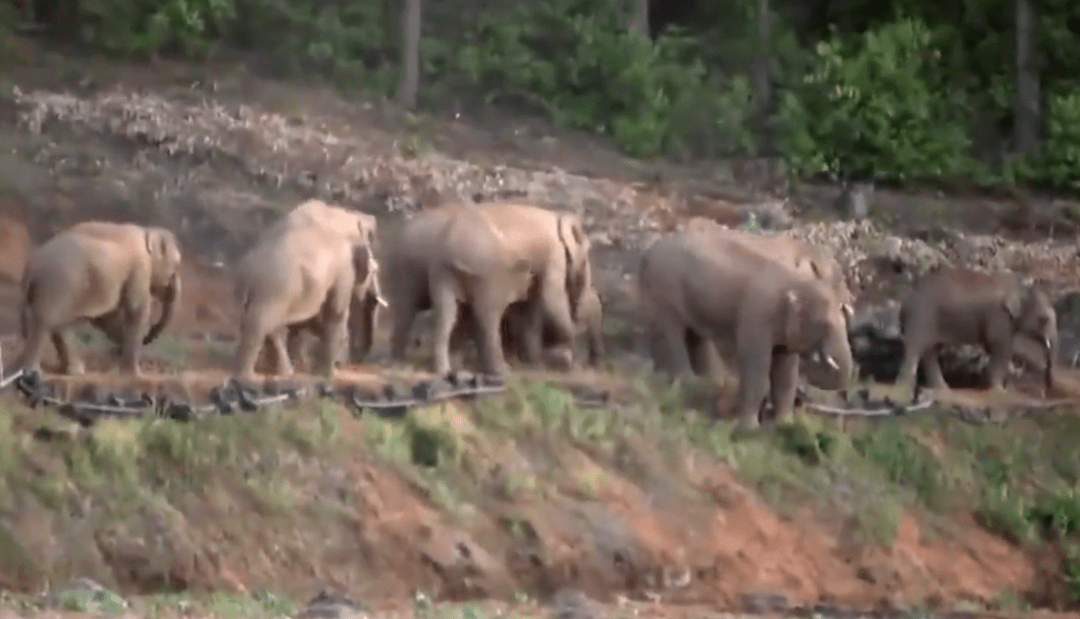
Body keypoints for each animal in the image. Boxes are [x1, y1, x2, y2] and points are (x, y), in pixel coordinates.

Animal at [15, 222, 181, 375]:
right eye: (178, 264)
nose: (148, 337)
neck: (147, 231)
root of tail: (31, 266)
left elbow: (108, 318)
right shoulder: (140, 268)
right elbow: (136, 310)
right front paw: (135, 374)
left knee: (57, 324)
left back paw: (74, 371)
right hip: (57, 284)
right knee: (45, 322)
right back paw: (32, 372)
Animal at [386, 203, 591, 375]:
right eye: (588, 256)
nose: (575, 362)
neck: (559, 215)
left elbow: (531, 307)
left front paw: (534, 365)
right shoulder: (554, 255)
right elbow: (550, 299)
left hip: (435, 269)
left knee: (445, 312)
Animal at [635, 229, 855, 427]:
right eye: (823, 324)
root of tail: (648, 253)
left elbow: (786, 371)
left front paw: (785, 425)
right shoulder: (756, 316)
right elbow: (756, 365)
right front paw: (750, 427)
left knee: (695, 336)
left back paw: (708, 383)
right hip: (664, 289)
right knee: (673, 334)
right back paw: (689, 383)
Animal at [894, 267, 1054, 397]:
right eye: (1044, 319)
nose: (1045, 392)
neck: (1020, 287)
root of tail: (905, 301)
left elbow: (996, 347)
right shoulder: (998, 316)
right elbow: (1000, 348)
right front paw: (999, 391)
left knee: (930, 351)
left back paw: (943, 390)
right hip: (921, 317)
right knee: (915, 347)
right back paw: (903, 390)